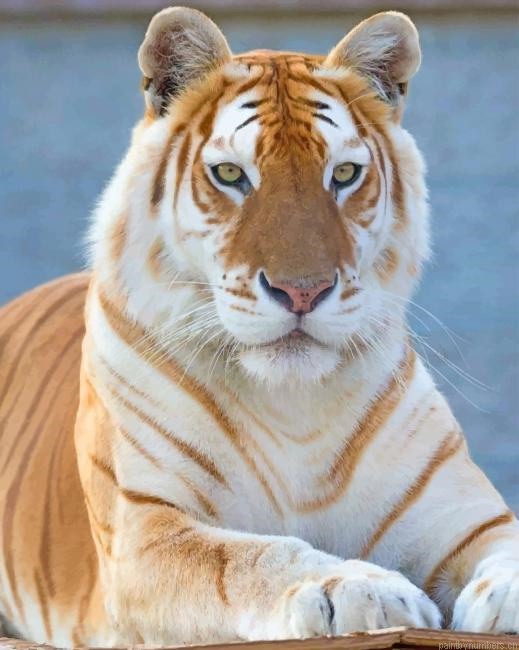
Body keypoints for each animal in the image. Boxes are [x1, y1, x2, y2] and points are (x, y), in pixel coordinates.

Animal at [0, 6, 518, 646]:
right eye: (229, 174)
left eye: (344, 174)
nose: (303, 291)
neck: (292, 406)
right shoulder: (148, 530)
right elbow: (255, 557)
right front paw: (360, 587)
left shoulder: (464, 515)